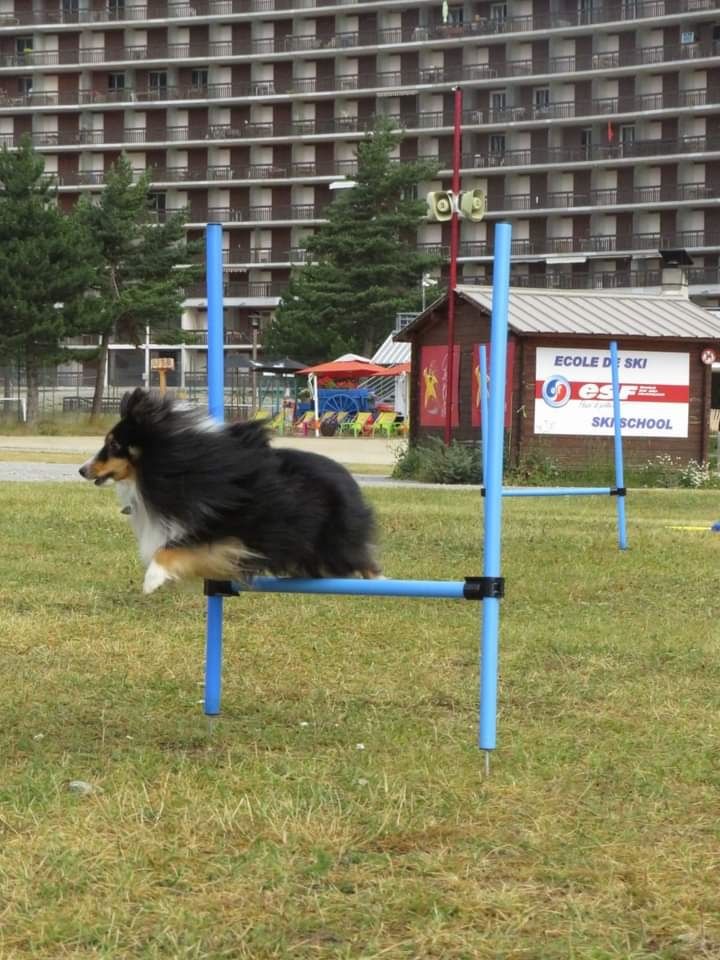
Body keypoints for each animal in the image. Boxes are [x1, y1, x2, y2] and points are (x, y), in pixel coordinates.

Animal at [79, 390, 382, 592]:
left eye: (114, 445)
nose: (82, 470)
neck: (174, 464)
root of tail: (349, 479)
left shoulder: (222, 528)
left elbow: (169, 548)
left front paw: (152, 580)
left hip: (334, 541)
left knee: (361, 559)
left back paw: (379, 580)